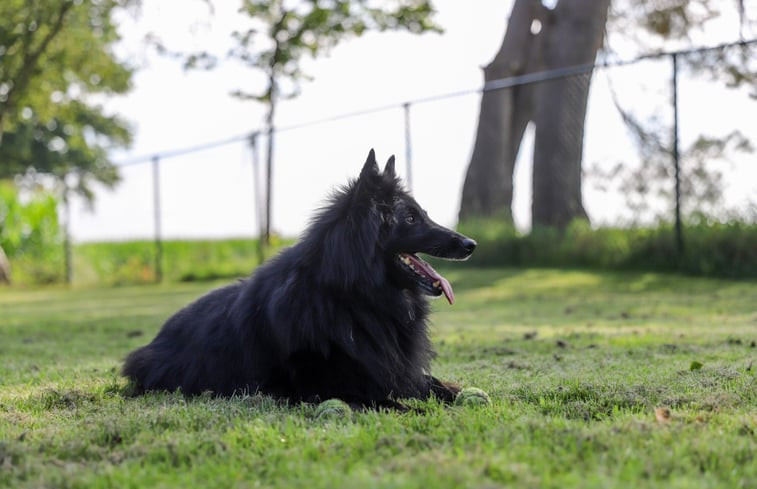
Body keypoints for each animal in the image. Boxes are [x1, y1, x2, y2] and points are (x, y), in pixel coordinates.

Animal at [125, 150, 478, 408]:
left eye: (424, 214)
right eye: (410, 219)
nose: (470, 244)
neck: (353, 296)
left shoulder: (397, 368)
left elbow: (435, 384)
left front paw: (459, 392)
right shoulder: (333, 386)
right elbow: (394, 403)